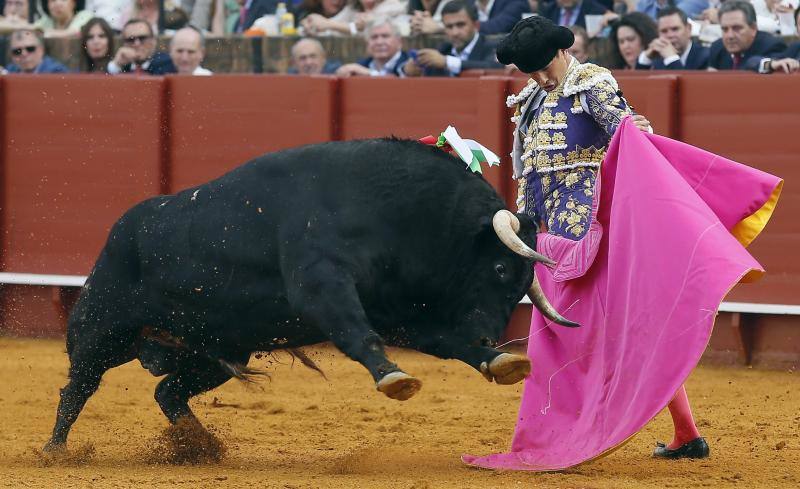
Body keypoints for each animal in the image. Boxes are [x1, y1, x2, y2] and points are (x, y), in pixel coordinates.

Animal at [43, 137, 576, 450]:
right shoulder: (322, 286)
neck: (391, 208)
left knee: (167, 390)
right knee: (78, 387)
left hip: (216, 351)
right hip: (103, 328)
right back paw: (56, 451)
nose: (491, 336)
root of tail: (122, 229)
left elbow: (449, 343)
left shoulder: (404, 315)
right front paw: (395, 378)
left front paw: (501, 362)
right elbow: (357, 333)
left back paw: (203, 447)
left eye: (521, 286)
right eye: (500, 266)